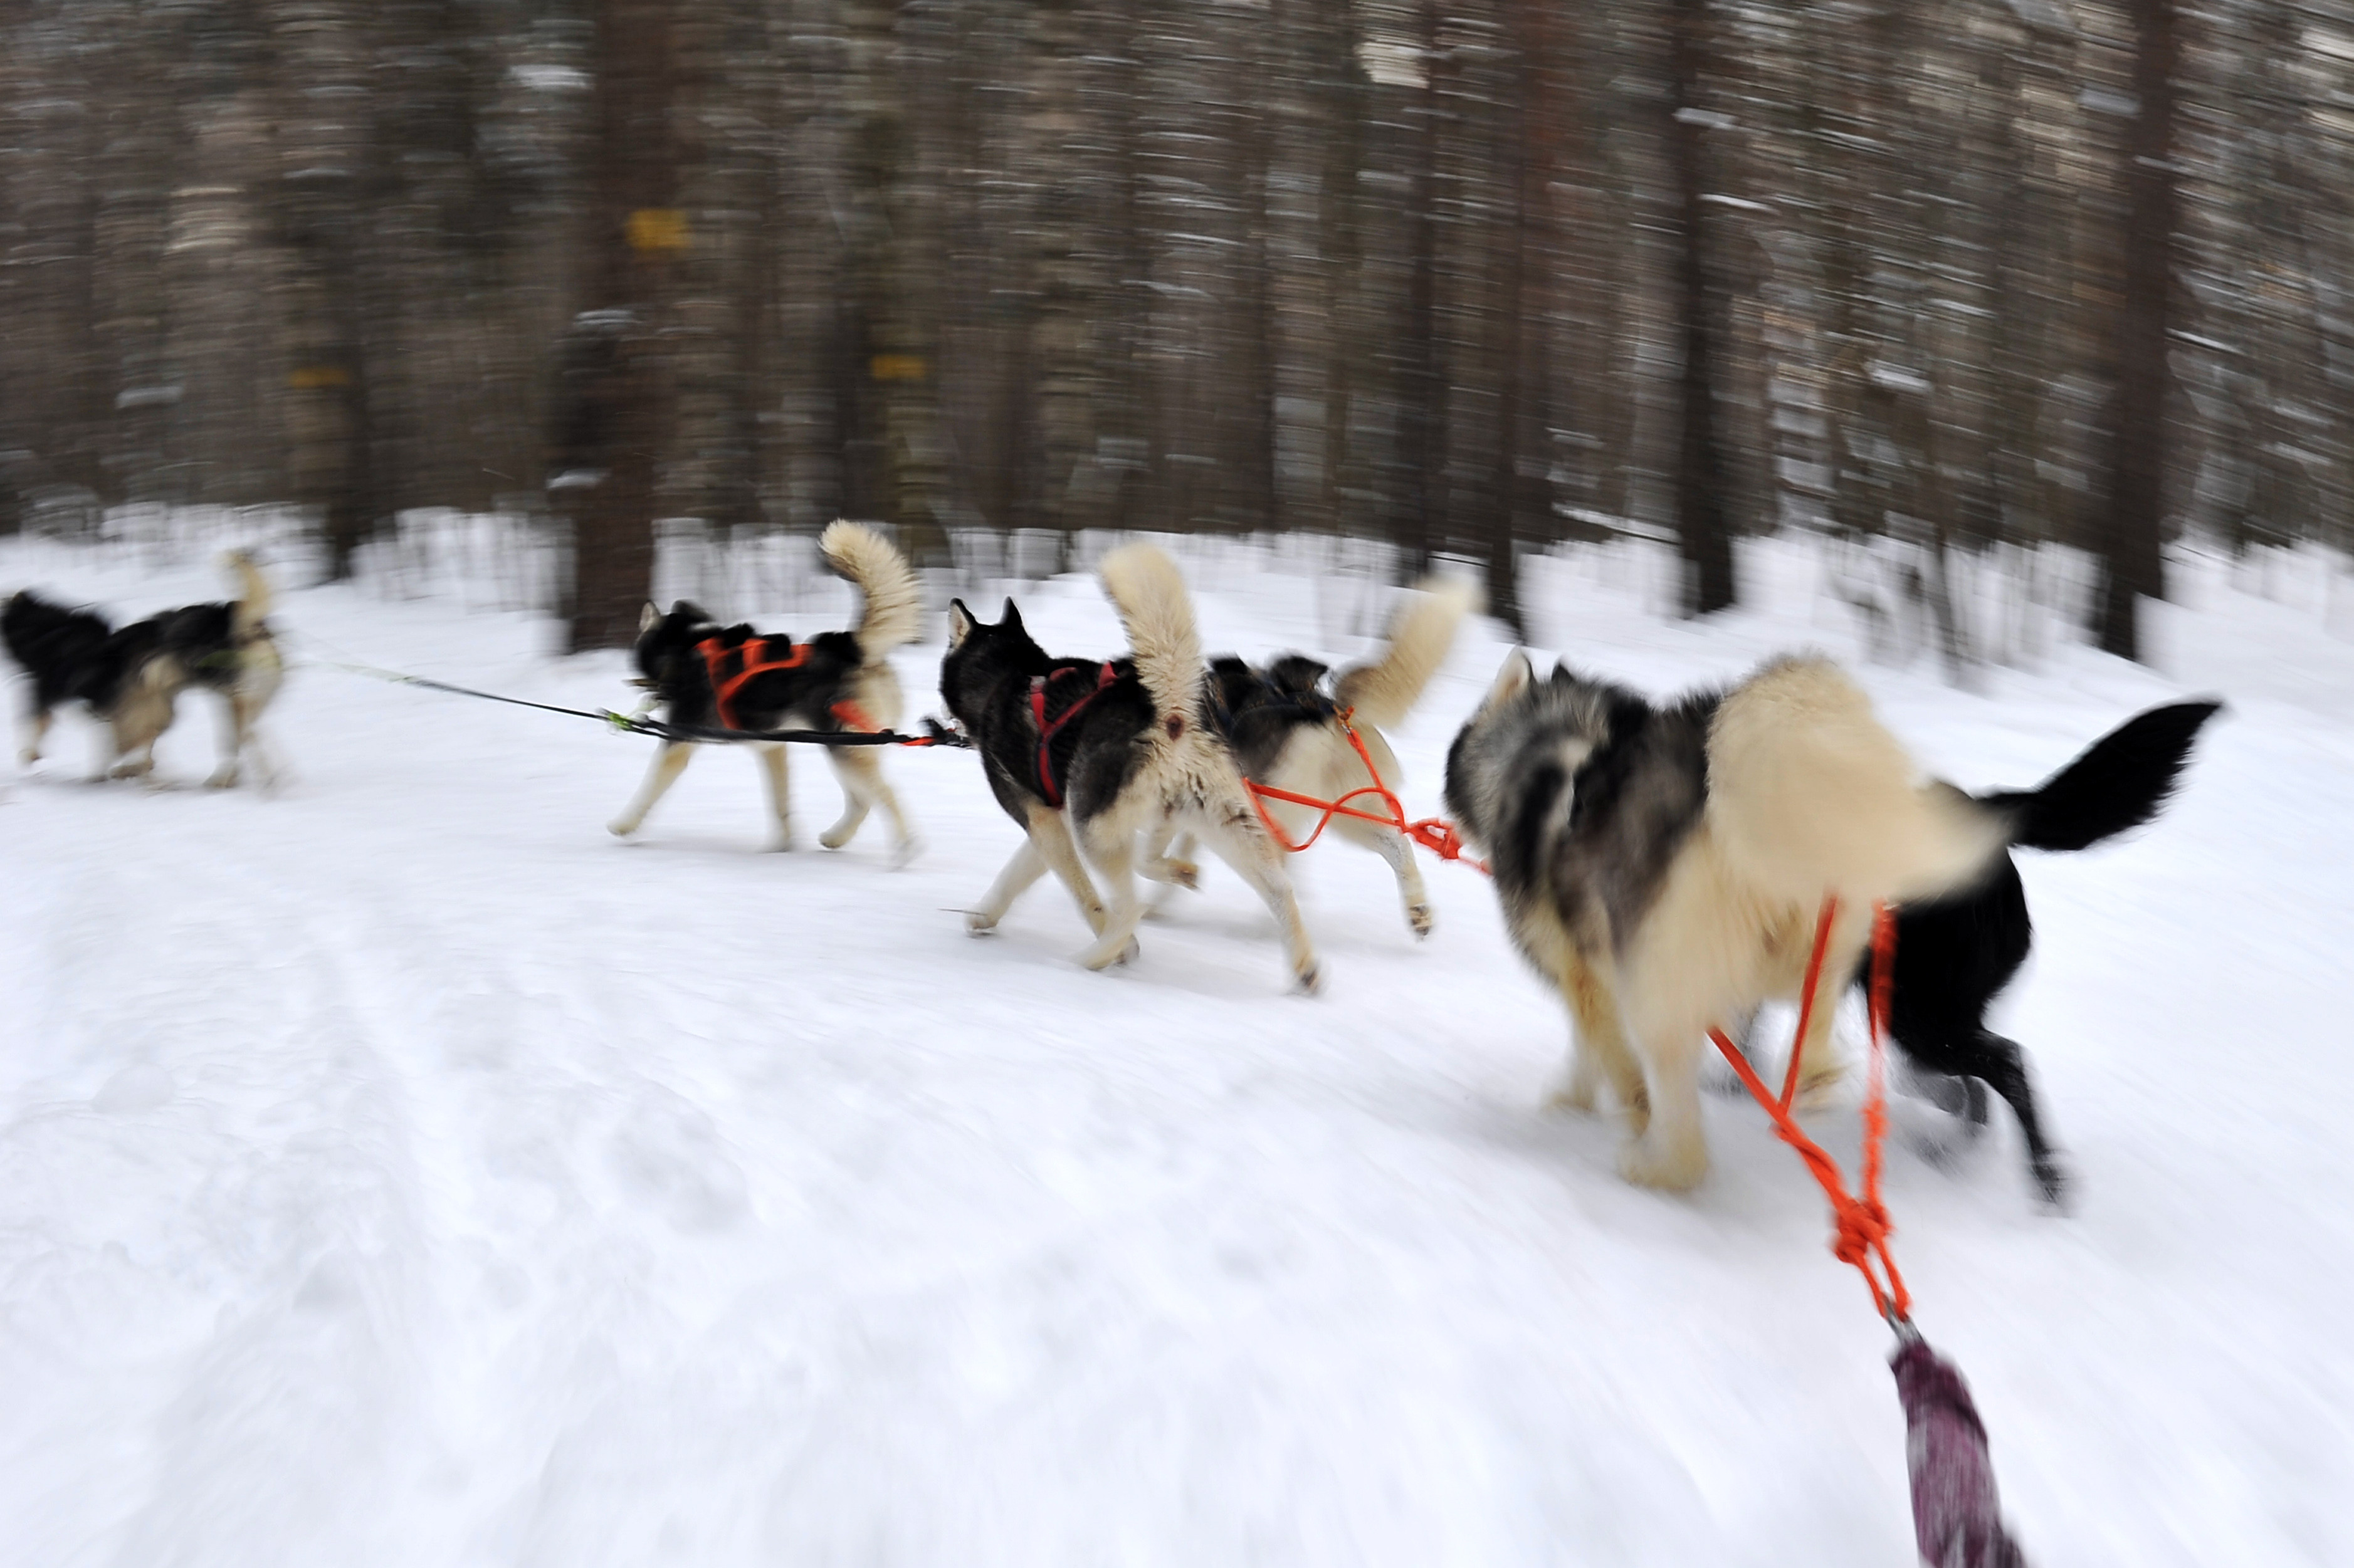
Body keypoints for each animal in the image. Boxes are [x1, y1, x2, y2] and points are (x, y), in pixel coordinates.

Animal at [612, 515, 922, 861]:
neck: (684, 649)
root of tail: (850, 647)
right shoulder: (773, 747)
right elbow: (781, 804)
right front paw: (781, 846)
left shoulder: (679, 740)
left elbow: (648, 790)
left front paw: (623, 825)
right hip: (844, 746)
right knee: (862, 801)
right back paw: (835, 838)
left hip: (844, 748)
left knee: (885, 794)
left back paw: (905, 849)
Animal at [946, 541, 1337, 988]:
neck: (1010, 678)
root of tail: (1171, 713)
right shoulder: (1051, 820)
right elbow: (1013, 876)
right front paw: (983, 915)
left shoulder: (1047, 822)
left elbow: (1085, 896)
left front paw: (1120, 945)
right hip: (1221, 823)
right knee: (1279, 889)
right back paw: (1304, 967)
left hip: (1097, 833)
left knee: (1130, 906)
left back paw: (1092, 959)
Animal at [1450, 645, 2005, 1186]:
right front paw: (1575, 1104)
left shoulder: (1585, 976)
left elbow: (1608, 1062)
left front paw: (1589, 1108)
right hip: (1819, 939)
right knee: (1816, 1005)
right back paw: (1811, 1078)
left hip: (1662, 986)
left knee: (1682, 1123)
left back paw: (1657, 1167)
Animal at [1854, 697, 2222, 1205]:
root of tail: (1984, 817)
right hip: (1937, 1004)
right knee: (1973, 1081)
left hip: (1917, 1005)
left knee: (2002, 1066)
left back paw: (2041, 1179)